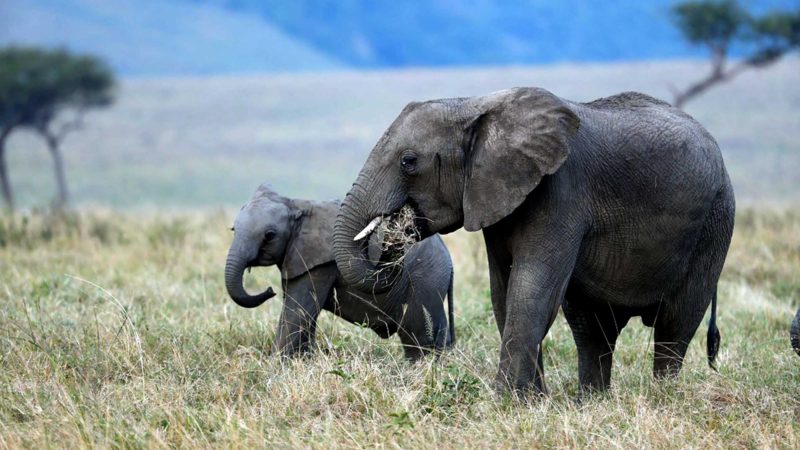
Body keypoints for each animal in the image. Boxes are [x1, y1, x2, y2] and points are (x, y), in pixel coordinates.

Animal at [223, 185, 456, 360]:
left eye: (269, 235)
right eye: (233, 230)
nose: (269, 291)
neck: (296, 205)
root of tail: (449, 261)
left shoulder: (321, 263)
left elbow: (297, 312)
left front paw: (278, 367)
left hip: (424, 281)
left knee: (417, 334)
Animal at [332, 88, 736, 394]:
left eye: (409, 161)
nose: (396, 228)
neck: (474, 104)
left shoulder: (560, 192)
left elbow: (530, 291)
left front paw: (505, 402)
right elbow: (503, 292)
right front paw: (532, 401)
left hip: (715, 223)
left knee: (676, 323)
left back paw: (661, 396)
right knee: (593, 328)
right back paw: (591, 402)